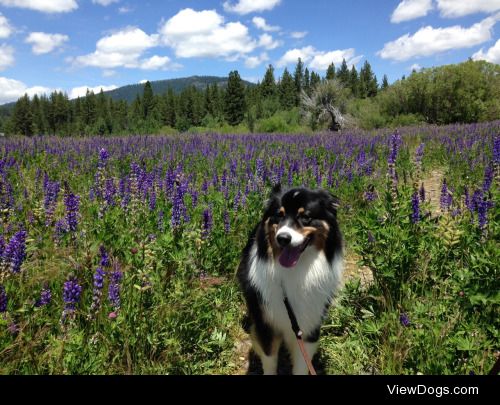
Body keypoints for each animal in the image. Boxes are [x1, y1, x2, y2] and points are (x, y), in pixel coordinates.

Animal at [238, 185, 344, 374]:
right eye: (279, 215)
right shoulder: (266, 325)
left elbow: (302, 364)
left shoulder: (309, 326)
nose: (282, 238)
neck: (297, 271)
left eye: (306, 217)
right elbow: (269, 361)